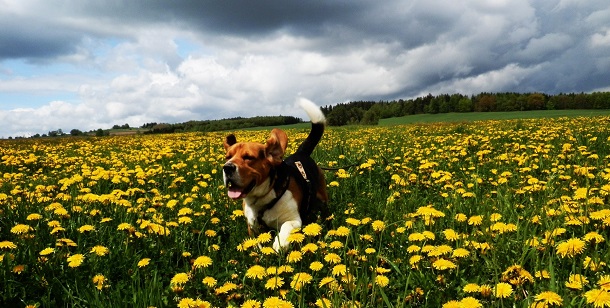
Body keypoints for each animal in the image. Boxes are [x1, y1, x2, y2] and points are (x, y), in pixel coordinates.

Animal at [222, 100, 328, 251]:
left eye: (248, 157)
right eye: (227, 157)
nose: (227, 167)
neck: (262, 200)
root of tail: (300, 152)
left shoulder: (294, 219)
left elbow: (286, 225)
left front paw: (280, 242)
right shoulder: (252, 226)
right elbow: (257, 243)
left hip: (323, 196)